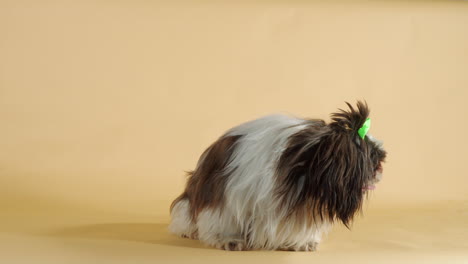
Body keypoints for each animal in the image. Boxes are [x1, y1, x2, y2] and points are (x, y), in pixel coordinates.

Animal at [170, 101, 386, 252]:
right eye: (372, 157)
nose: (381, 166)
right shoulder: (226, 192)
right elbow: (224, 217)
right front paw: (229, 239)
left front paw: (300, 242)